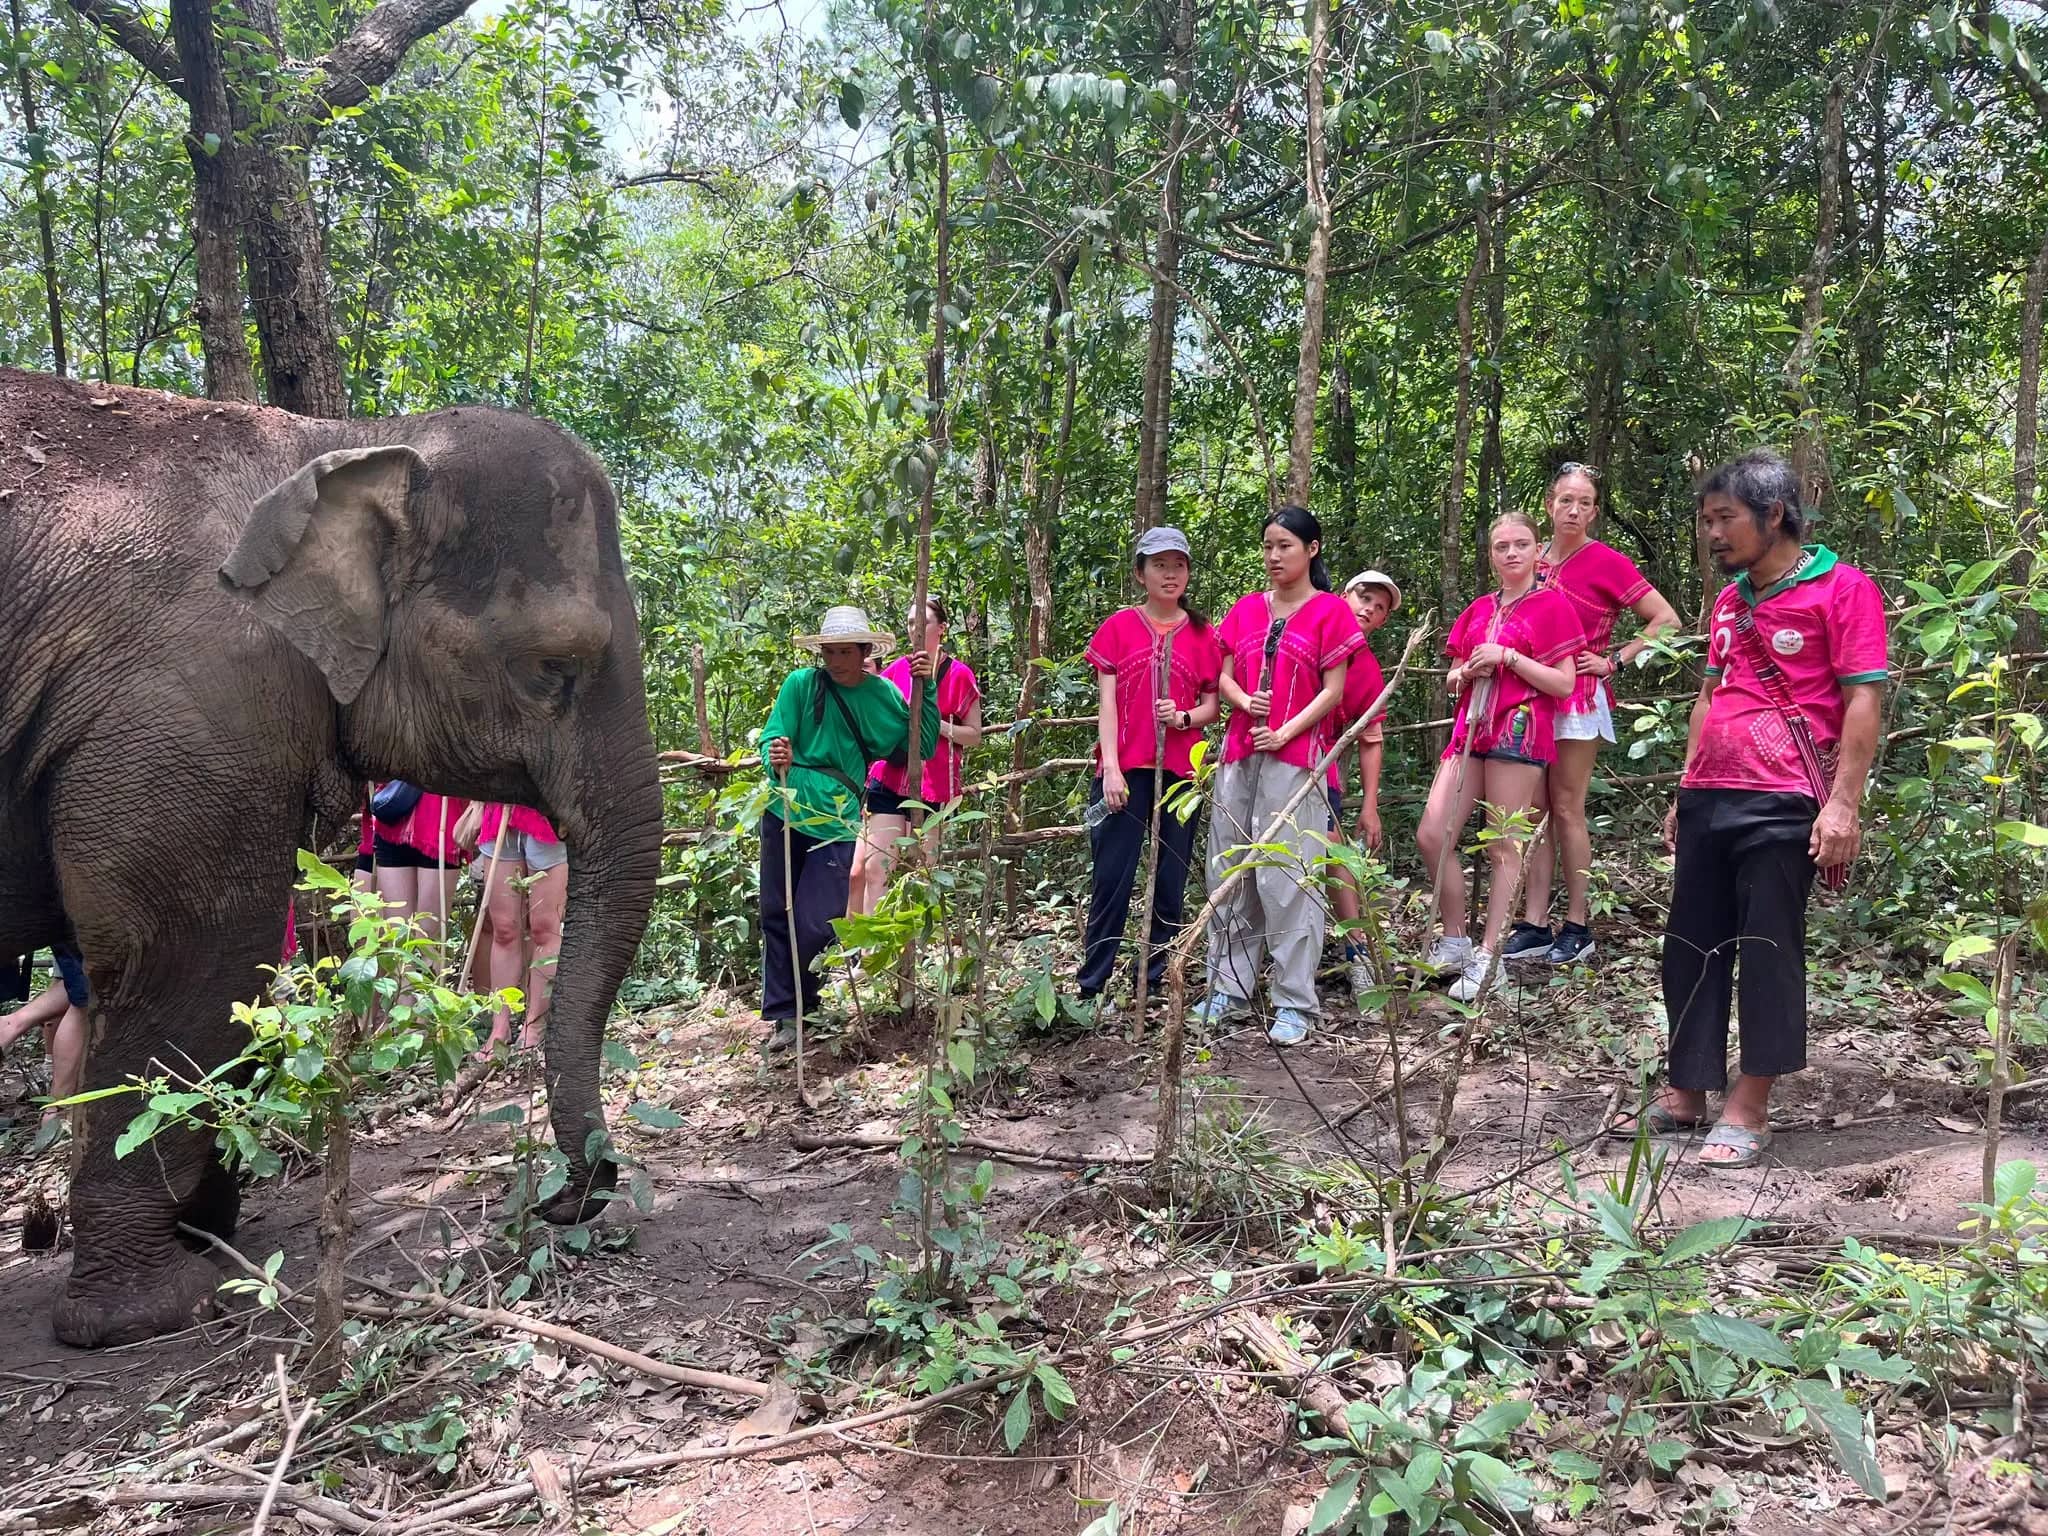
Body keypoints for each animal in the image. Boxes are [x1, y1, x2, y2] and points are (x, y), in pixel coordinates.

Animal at [0, 368, 662, 1347]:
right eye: (554, 666)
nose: (568, 1199)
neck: (340, 440)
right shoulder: (192, 710)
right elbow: (191, 954)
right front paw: (160, 1309)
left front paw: (208, 1230)